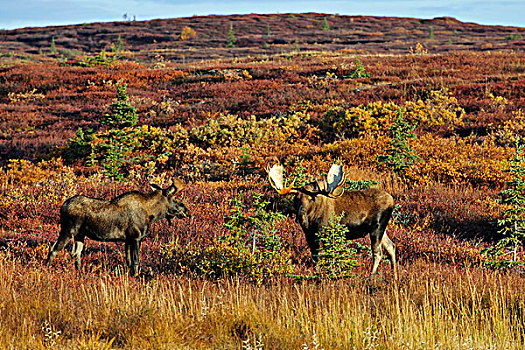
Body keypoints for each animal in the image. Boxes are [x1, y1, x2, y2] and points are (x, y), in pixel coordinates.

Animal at [45, 180, 188, 276]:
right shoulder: (136, 238)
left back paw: (79, 272)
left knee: (76, 253)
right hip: (68, 230)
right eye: (174, 199)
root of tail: (62, 206)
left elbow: (129, 261)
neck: (151, 214)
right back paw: (46, 269)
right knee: (54, 249)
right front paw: (136, 276)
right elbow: (135, 261)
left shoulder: (128, 239)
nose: (186, 211)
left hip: (80, 235)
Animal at [268, 164, 396, 278]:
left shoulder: (326, 233)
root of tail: (392, 201)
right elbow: (315, 255)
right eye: (296, 198)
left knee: (378, 252)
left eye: (310, 198)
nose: (301, 214)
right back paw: (394, 275)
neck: (312, 219)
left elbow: (328, 254)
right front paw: (317, 272)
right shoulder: (310, 235)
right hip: (381, 229)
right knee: (391, 246)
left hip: (377, 227)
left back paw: (371, 275)